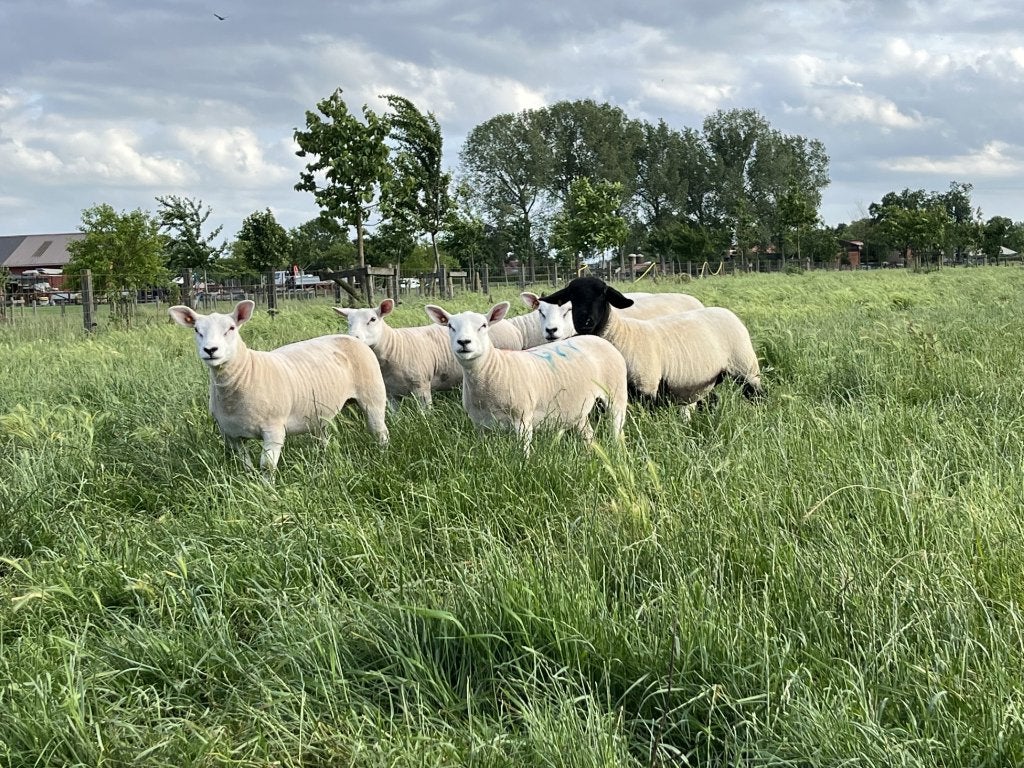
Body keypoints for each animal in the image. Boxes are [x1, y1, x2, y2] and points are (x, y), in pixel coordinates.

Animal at [169, 299, 388, 476]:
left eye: (231, 328)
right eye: (197, 330)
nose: (210, 350)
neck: (244, 374)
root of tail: (353, 338)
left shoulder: (273, 430)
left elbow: (267, 466)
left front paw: (267, 492)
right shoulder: (231, 434)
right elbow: (244, 464)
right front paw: (251, 483)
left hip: (373, 397)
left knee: (379, 430)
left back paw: (382, 454)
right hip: (317, 413)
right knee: (323, 439)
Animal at [424, 301, 629, 453]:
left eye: (483, 325)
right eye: (450, 326)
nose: (464, 342)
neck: (493, 370)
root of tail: (598, 339)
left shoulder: (522, 419)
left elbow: (523, 454)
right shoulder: (480, 425)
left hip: (616, 392)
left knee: (617, 427)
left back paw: (617, 452)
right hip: (578, 406)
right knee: (588, 433)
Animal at [541, 276, 762, 408]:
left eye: (603, 295)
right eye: (572, 297)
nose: (584, 322)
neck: (620, 335)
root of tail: (726, 311)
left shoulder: (646, 385)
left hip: (746, 367)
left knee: (757, 393)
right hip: (707, 379)